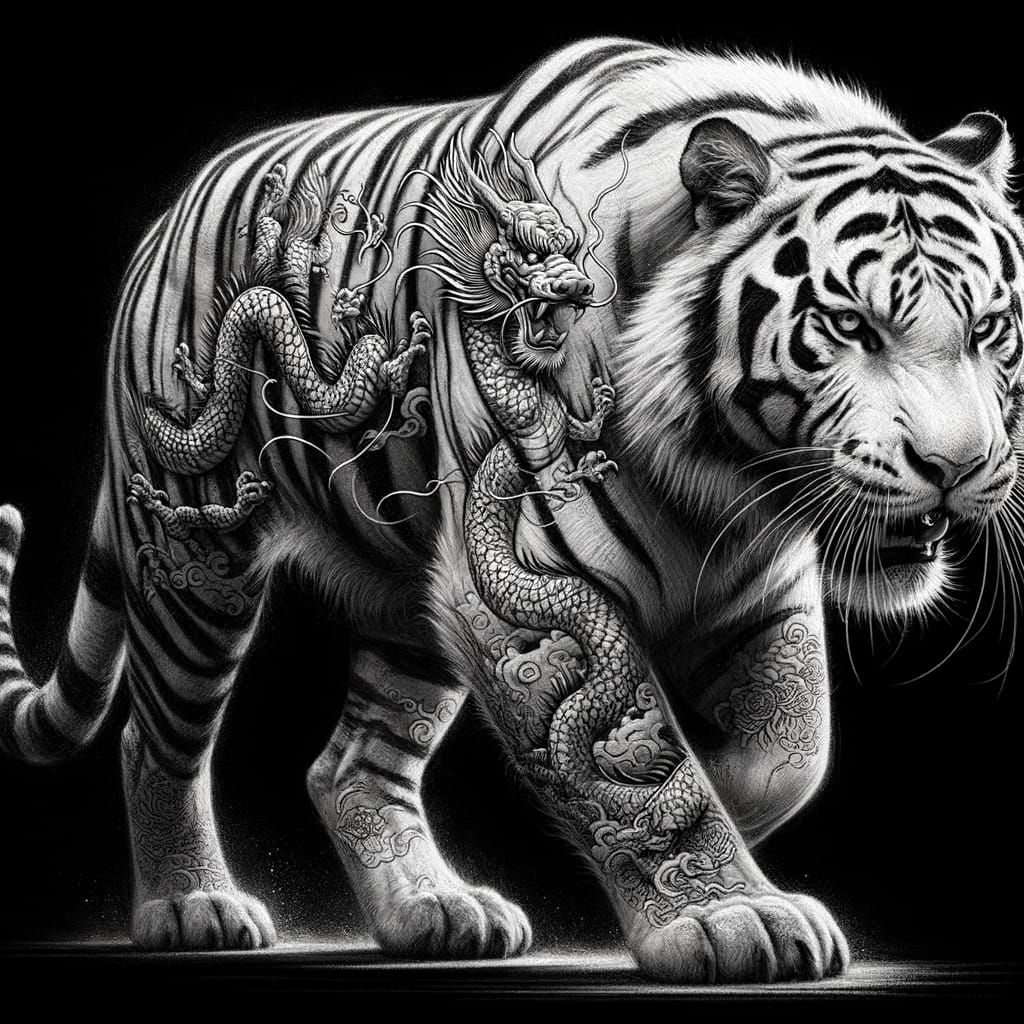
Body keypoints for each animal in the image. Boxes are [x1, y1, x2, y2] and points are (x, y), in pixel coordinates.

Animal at [1, 36, 1020, 984]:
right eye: (851, 326)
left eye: (988, 329)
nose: (958, 467)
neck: (723, 474)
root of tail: (168, 215)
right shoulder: (524, 573)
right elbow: (654, 747)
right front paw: (724, 912)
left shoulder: (758, 587)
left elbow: (793, 746)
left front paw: (716, 812)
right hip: (196, 566)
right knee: (154, 742)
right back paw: (192, 905)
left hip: (413, 608)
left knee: (349, 766)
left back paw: (434, 910)